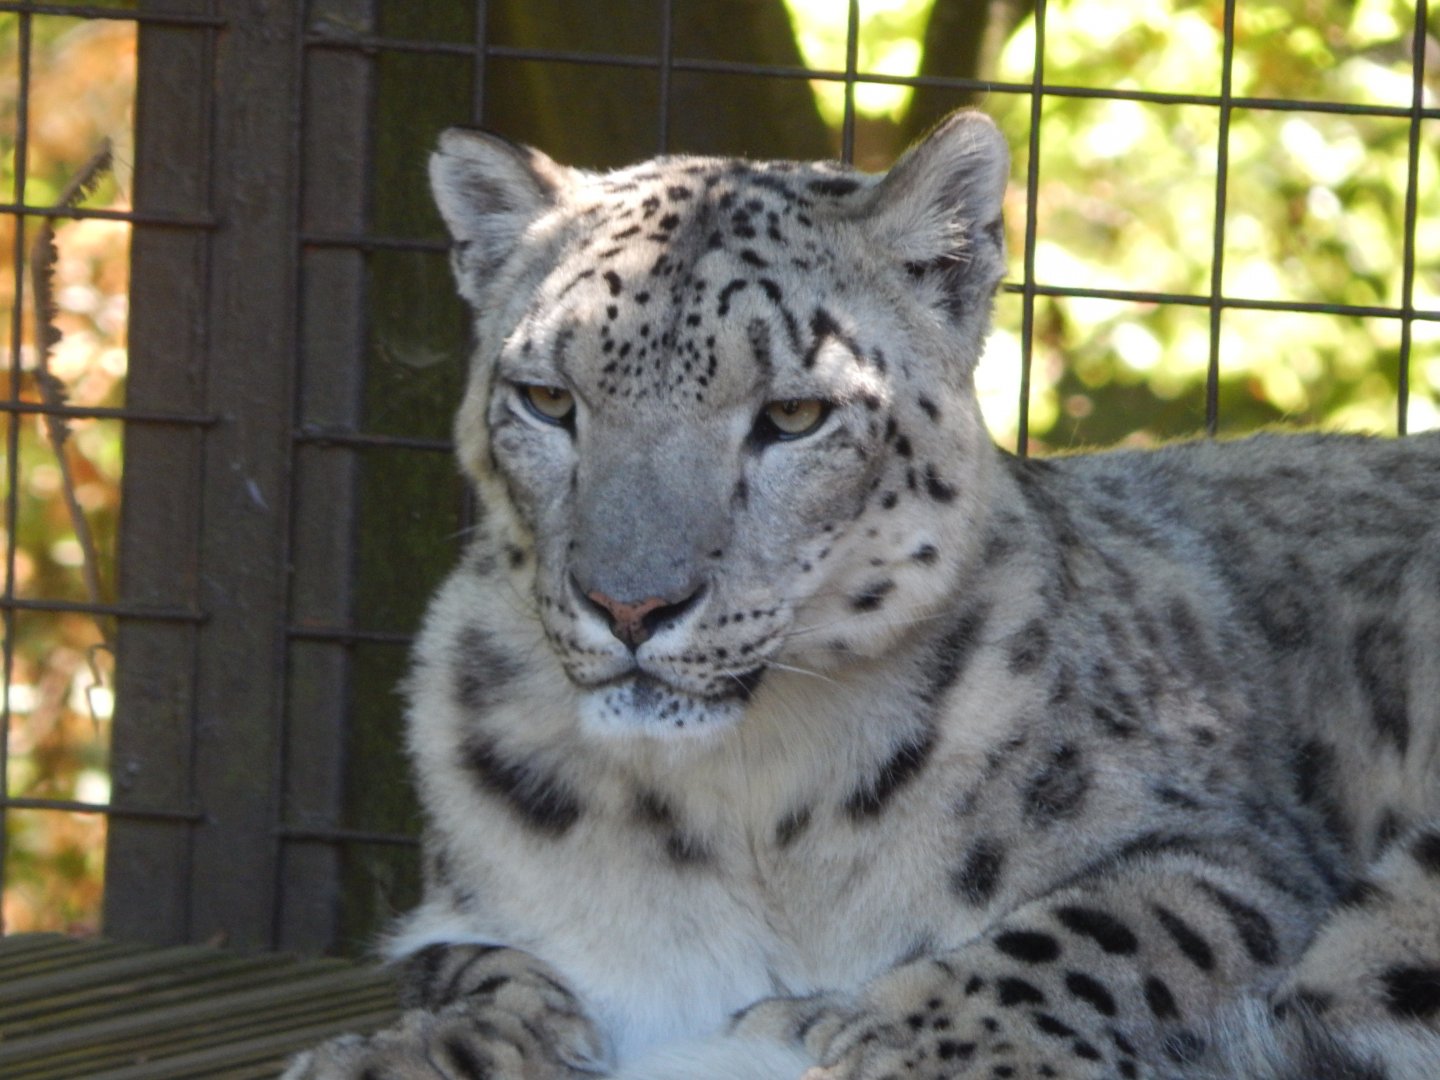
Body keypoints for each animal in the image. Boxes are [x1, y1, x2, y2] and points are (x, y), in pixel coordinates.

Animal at [286, 110, 1440, 1080]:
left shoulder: (1232, 856)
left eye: (794, 414)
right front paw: (408, 1051)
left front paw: (854, 1031)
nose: (630, 607)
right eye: (546, 398)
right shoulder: (466, 908)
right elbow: (466, 967)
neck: (733, 802)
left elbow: (1097, 936)